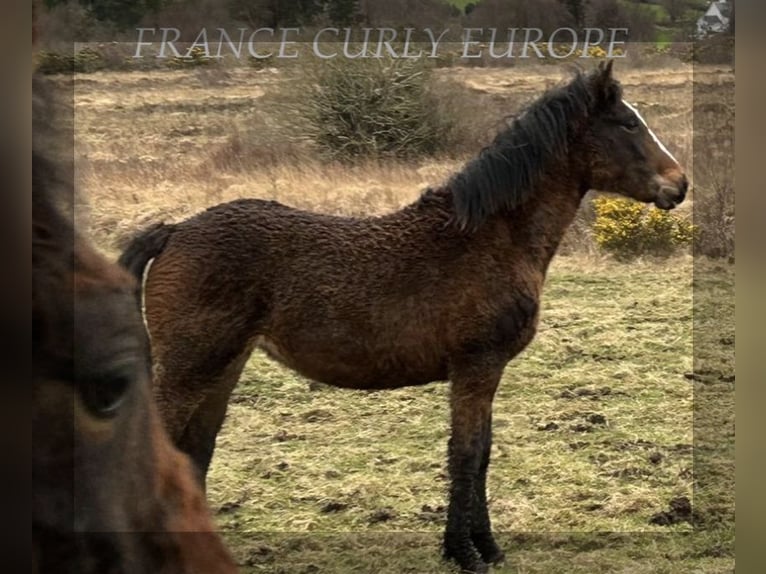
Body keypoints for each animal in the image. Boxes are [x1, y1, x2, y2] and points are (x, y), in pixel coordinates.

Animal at [120, 60, 688, 572]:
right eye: (628, 124)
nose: (678, 185)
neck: (489, 237)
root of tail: (174, 231)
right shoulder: (476, 366)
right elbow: (466, 453)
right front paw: (465, 554)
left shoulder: (486, 372)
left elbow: (483, 454)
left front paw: (487, 547)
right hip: (190, 366)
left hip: (223, 366)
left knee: (194, 450)